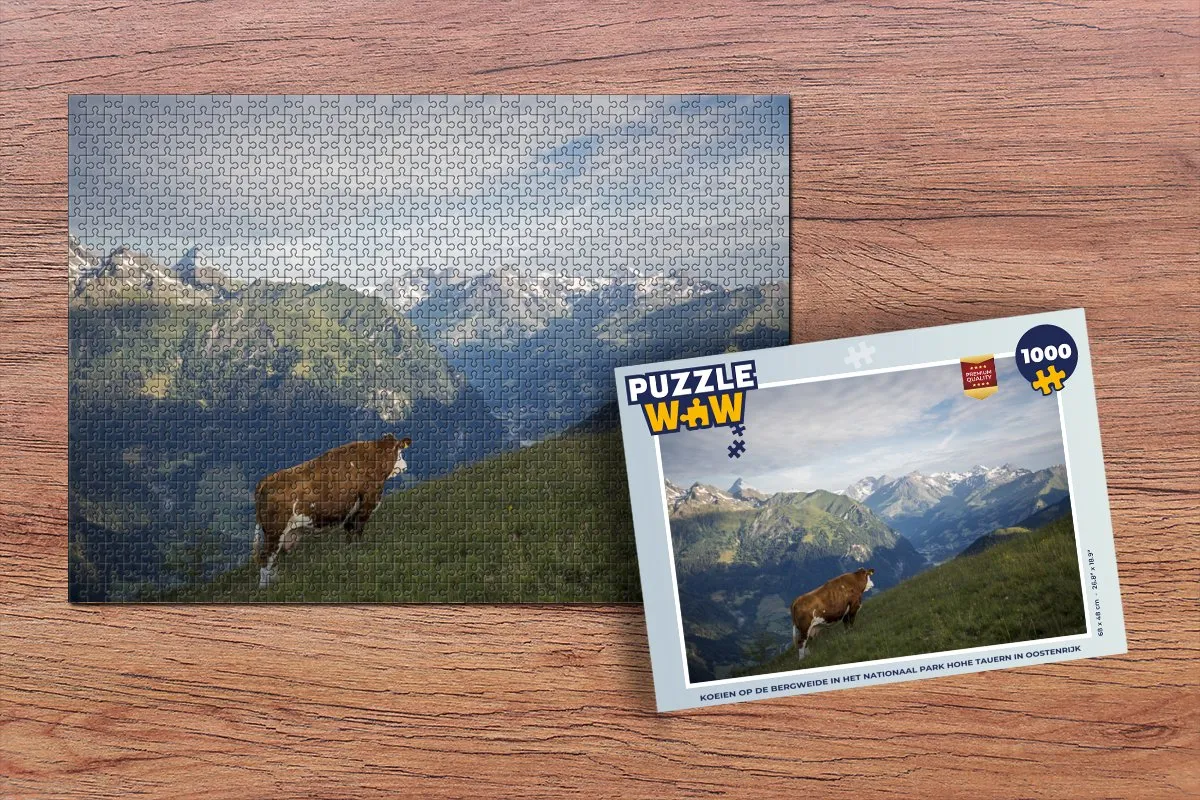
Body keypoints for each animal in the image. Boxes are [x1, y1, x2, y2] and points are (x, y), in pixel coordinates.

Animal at [253, 434, 412, 588]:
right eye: (400, 452)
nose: (405, 466)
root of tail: (267, 479)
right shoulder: (366, 504)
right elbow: (358, 531)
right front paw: (361, 552)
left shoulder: (350, 512)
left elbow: (349, 534)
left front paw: (351, 554)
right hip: (274, 533)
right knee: (266, 558)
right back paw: (265, 589)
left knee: (273, 560)